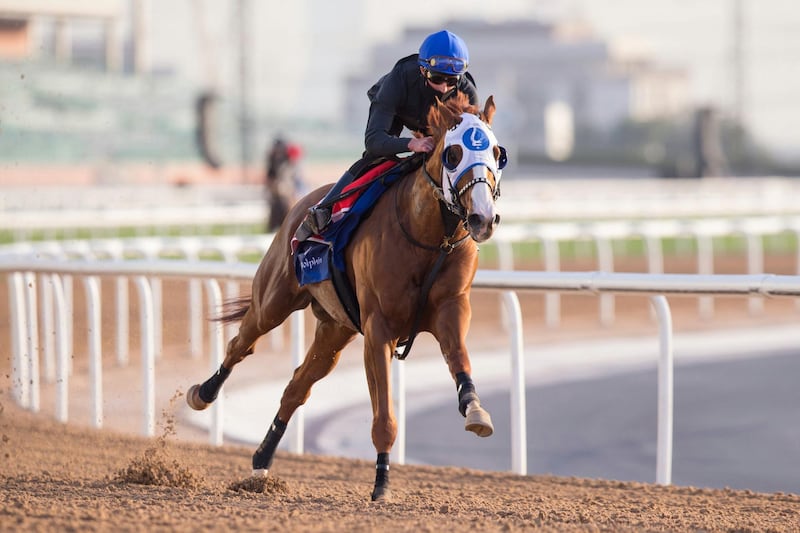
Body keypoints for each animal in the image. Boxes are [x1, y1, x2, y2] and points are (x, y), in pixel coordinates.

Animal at [188, 91, 506, 498]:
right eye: (452, 154)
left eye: (497, 153)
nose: (483, 218)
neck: (429, 236)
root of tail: (302, 202)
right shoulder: (379, 329)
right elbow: (384, 415)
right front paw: (381, 483)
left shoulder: (451, 309)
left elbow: (460, 360)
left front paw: (476, 411)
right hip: (275, 299)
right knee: (243, 342)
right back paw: (204, 392)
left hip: (335, 331)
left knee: (297, 386)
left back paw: (261, 458)